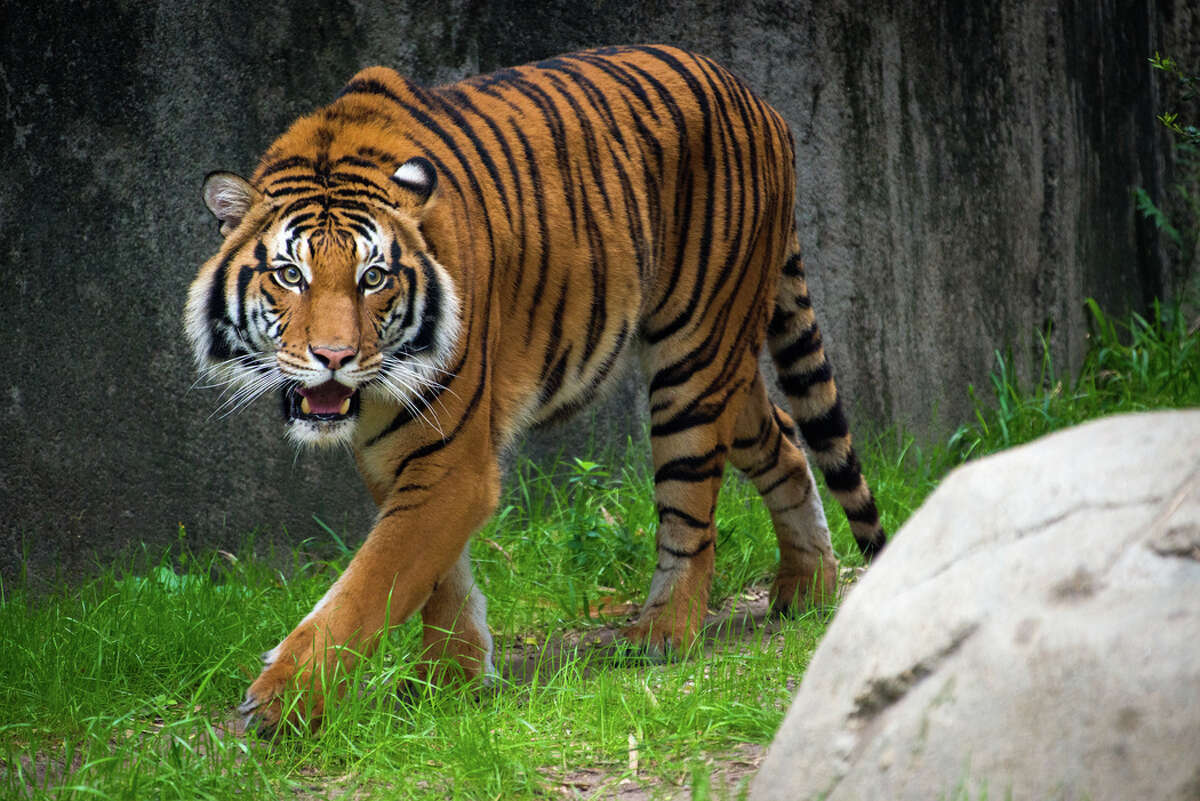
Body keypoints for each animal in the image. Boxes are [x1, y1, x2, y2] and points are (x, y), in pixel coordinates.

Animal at [185, 44, 886, 733]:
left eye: (374, 277)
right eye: (290, 275)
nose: (335, 357)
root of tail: (760, 102)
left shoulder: (451, 457)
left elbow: (372, 582)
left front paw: (280, 703)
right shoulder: (399, 454)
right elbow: (434, 575)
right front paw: (454, 679)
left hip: (694, 356)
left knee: (691, 508)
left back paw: (662, 632)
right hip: (727, 365)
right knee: (785, 439)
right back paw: (809, 587)